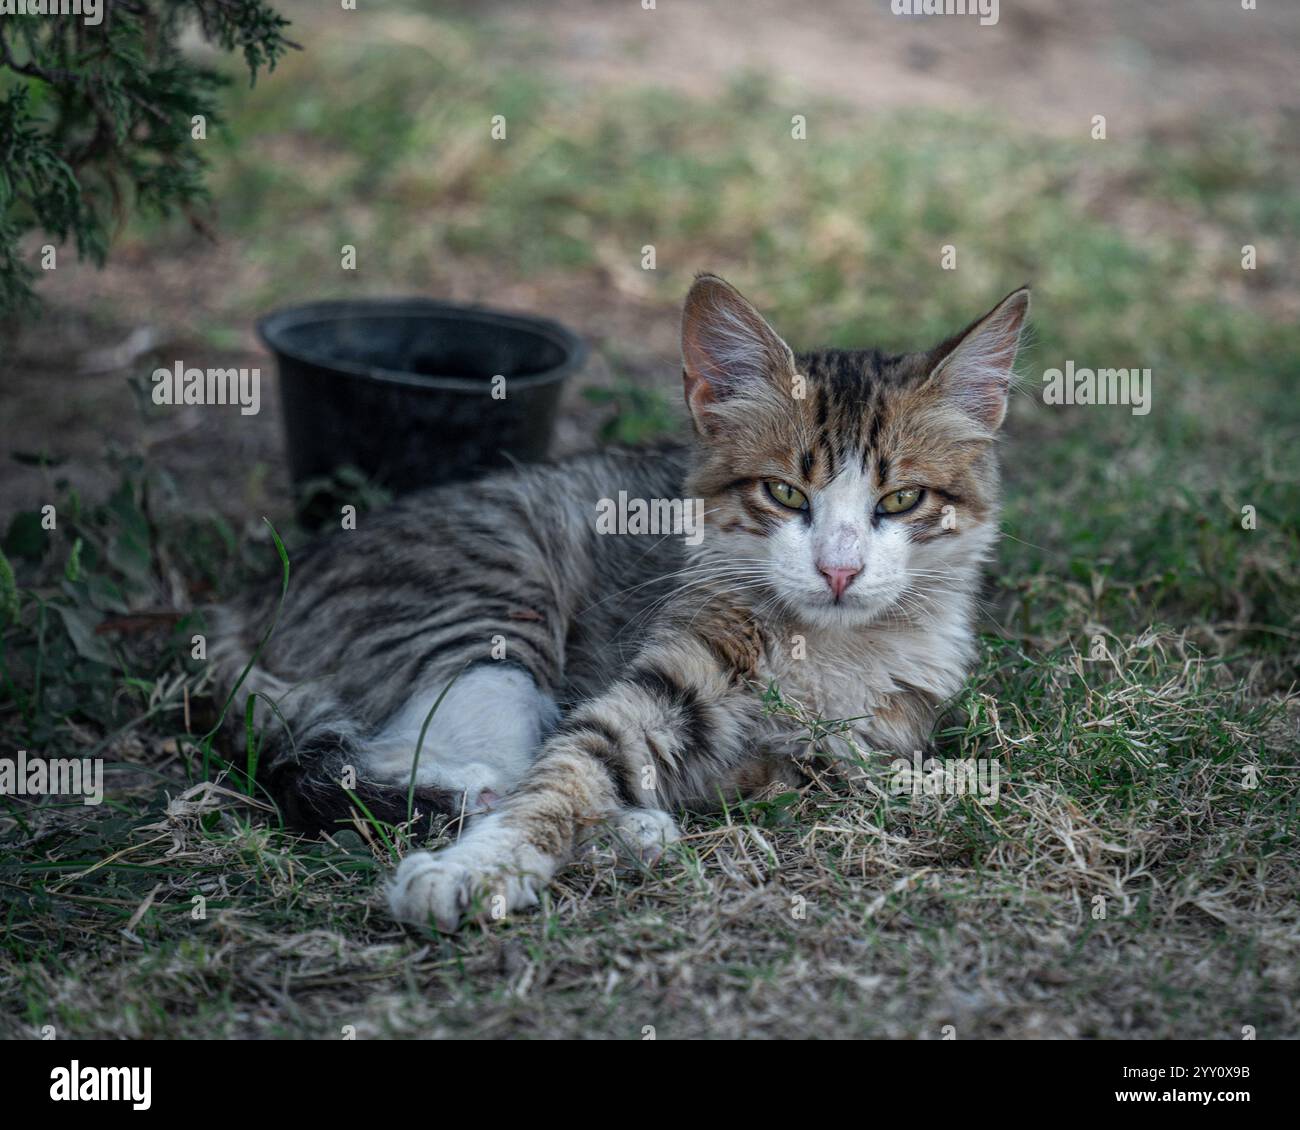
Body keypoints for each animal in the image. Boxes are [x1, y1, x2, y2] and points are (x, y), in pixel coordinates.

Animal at [210, 273, 1024, 925]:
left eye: (903, 498)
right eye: (786, 493)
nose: (839, 571)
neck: (823, 650)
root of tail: (256, 595)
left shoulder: (881, 733)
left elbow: (792, 768)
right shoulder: (674, 668)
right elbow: (572, 764)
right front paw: (479, 868)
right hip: (489, 607)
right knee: (440, 758)